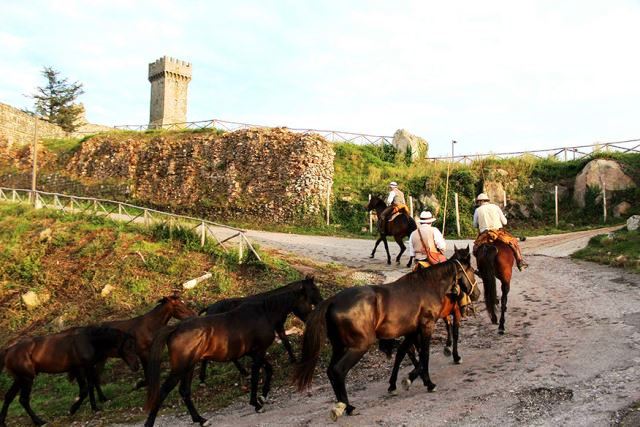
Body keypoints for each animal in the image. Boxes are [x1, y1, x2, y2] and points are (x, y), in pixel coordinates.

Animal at [0, 326, 139, 426]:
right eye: (128, 346)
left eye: (133, 345)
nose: (136, 366)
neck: (88, 341)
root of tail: (8, 350)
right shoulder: (79, 369)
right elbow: (84, 390)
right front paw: (72, 410)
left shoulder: (87, 368)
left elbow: (90, 386)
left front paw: (95, 408)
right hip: (27, 379)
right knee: (23, 400)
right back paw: (39, 421)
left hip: (19, 379)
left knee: (9, 397)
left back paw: (3, 421)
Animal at [146, 280, 324, 427]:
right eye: (309, 299)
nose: (314, 317)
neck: (264, 313)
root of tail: (175, 328)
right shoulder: (259, 352)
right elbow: (256, 376)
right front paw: (256, 403)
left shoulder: (254, 352)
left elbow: (269, 369)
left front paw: (263, 395)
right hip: (180, 369)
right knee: (163, 392)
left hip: (189, 367)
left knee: (185, 391)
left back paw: (201, 419)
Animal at [292, 251, 478, 422]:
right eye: (473, 270)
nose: (476, 294)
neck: (427, 286)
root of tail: (333, 300)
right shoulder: (426, 327)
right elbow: (424, 355)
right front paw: (425, 382)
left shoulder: (412, 331)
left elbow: (405, 352)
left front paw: (401, 382)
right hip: (358, 347)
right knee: (338, 370)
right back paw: (348, 407)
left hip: (340, 347)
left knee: (331, 371)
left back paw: (344, 405)